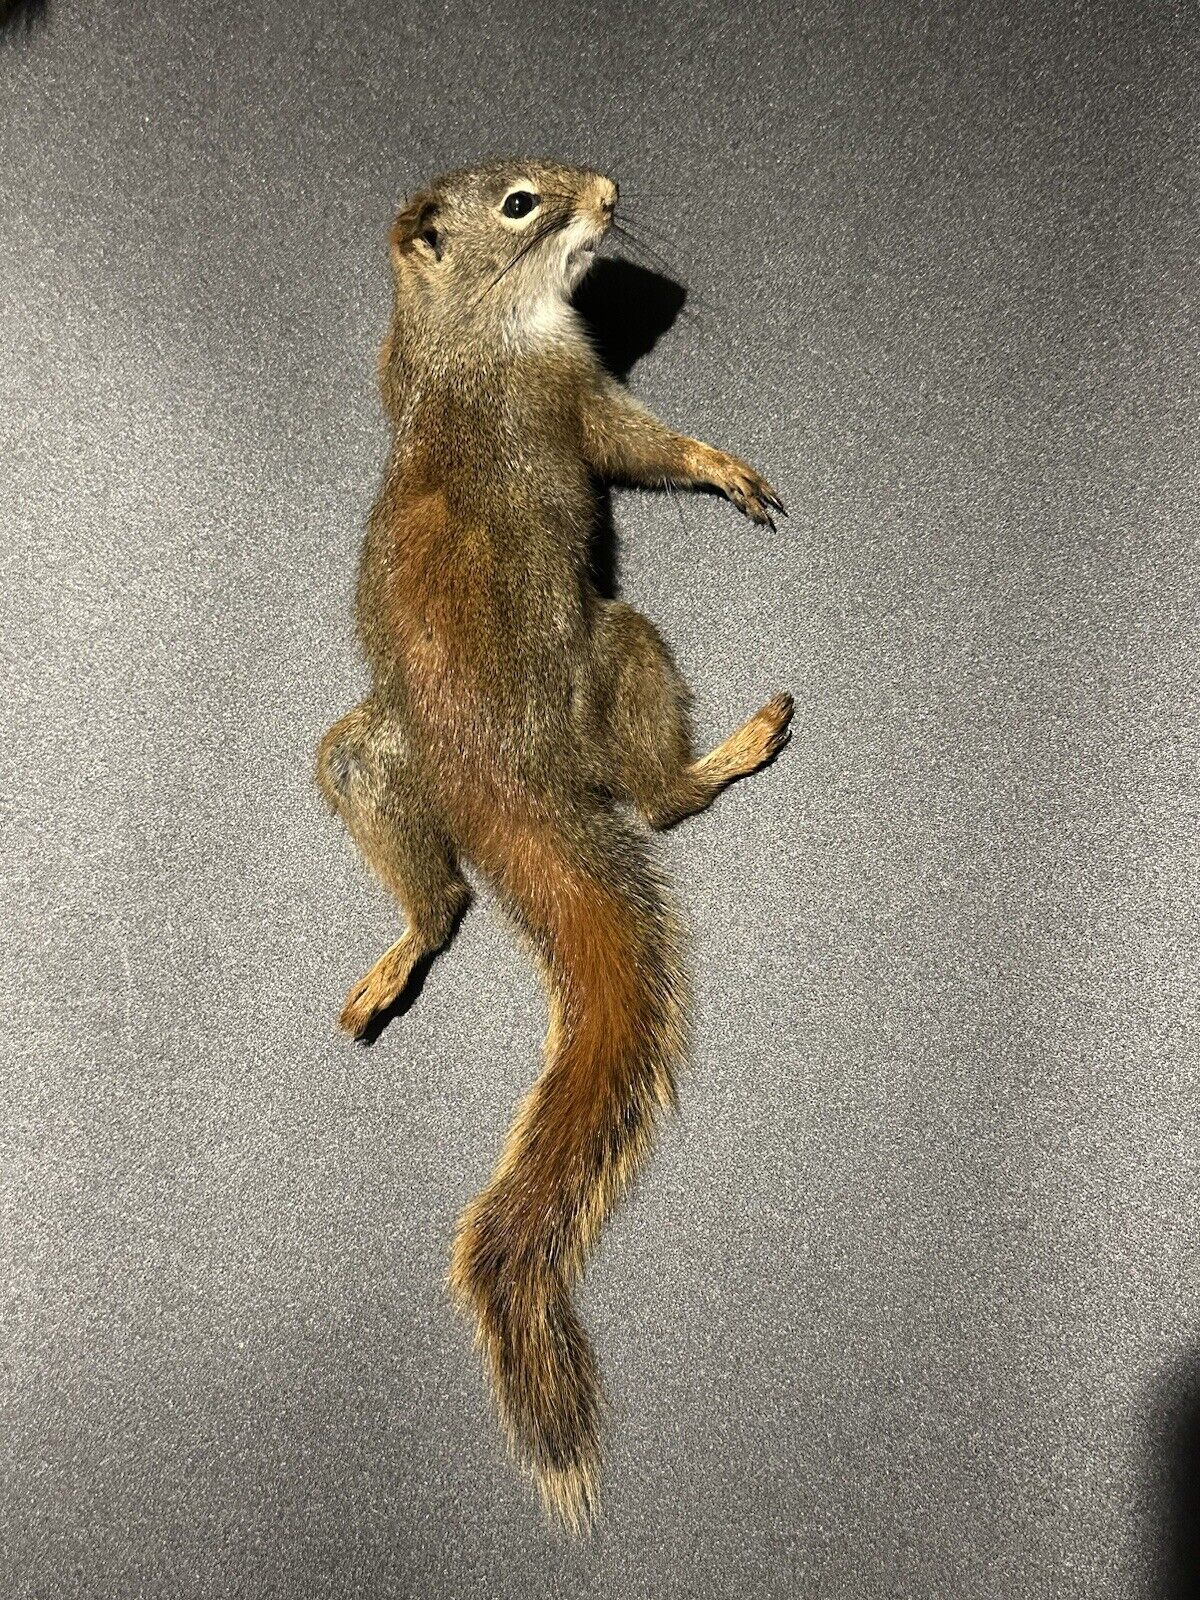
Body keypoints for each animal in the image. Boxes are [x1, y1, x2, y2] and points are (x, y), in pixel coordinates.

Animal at [315, 161, 793, 1531]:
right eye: (523, 204)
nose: (609, 189)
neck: (463, 333)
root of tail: (505, 790)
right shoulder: (569, 393)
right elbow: (639, 448)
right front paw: (723, 465)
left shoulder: (397, 364)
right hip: (620, 652)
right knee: (660, 802)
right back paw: (730, 750)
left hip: (373, 760)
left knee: (437, 896)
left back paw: (399, 950)